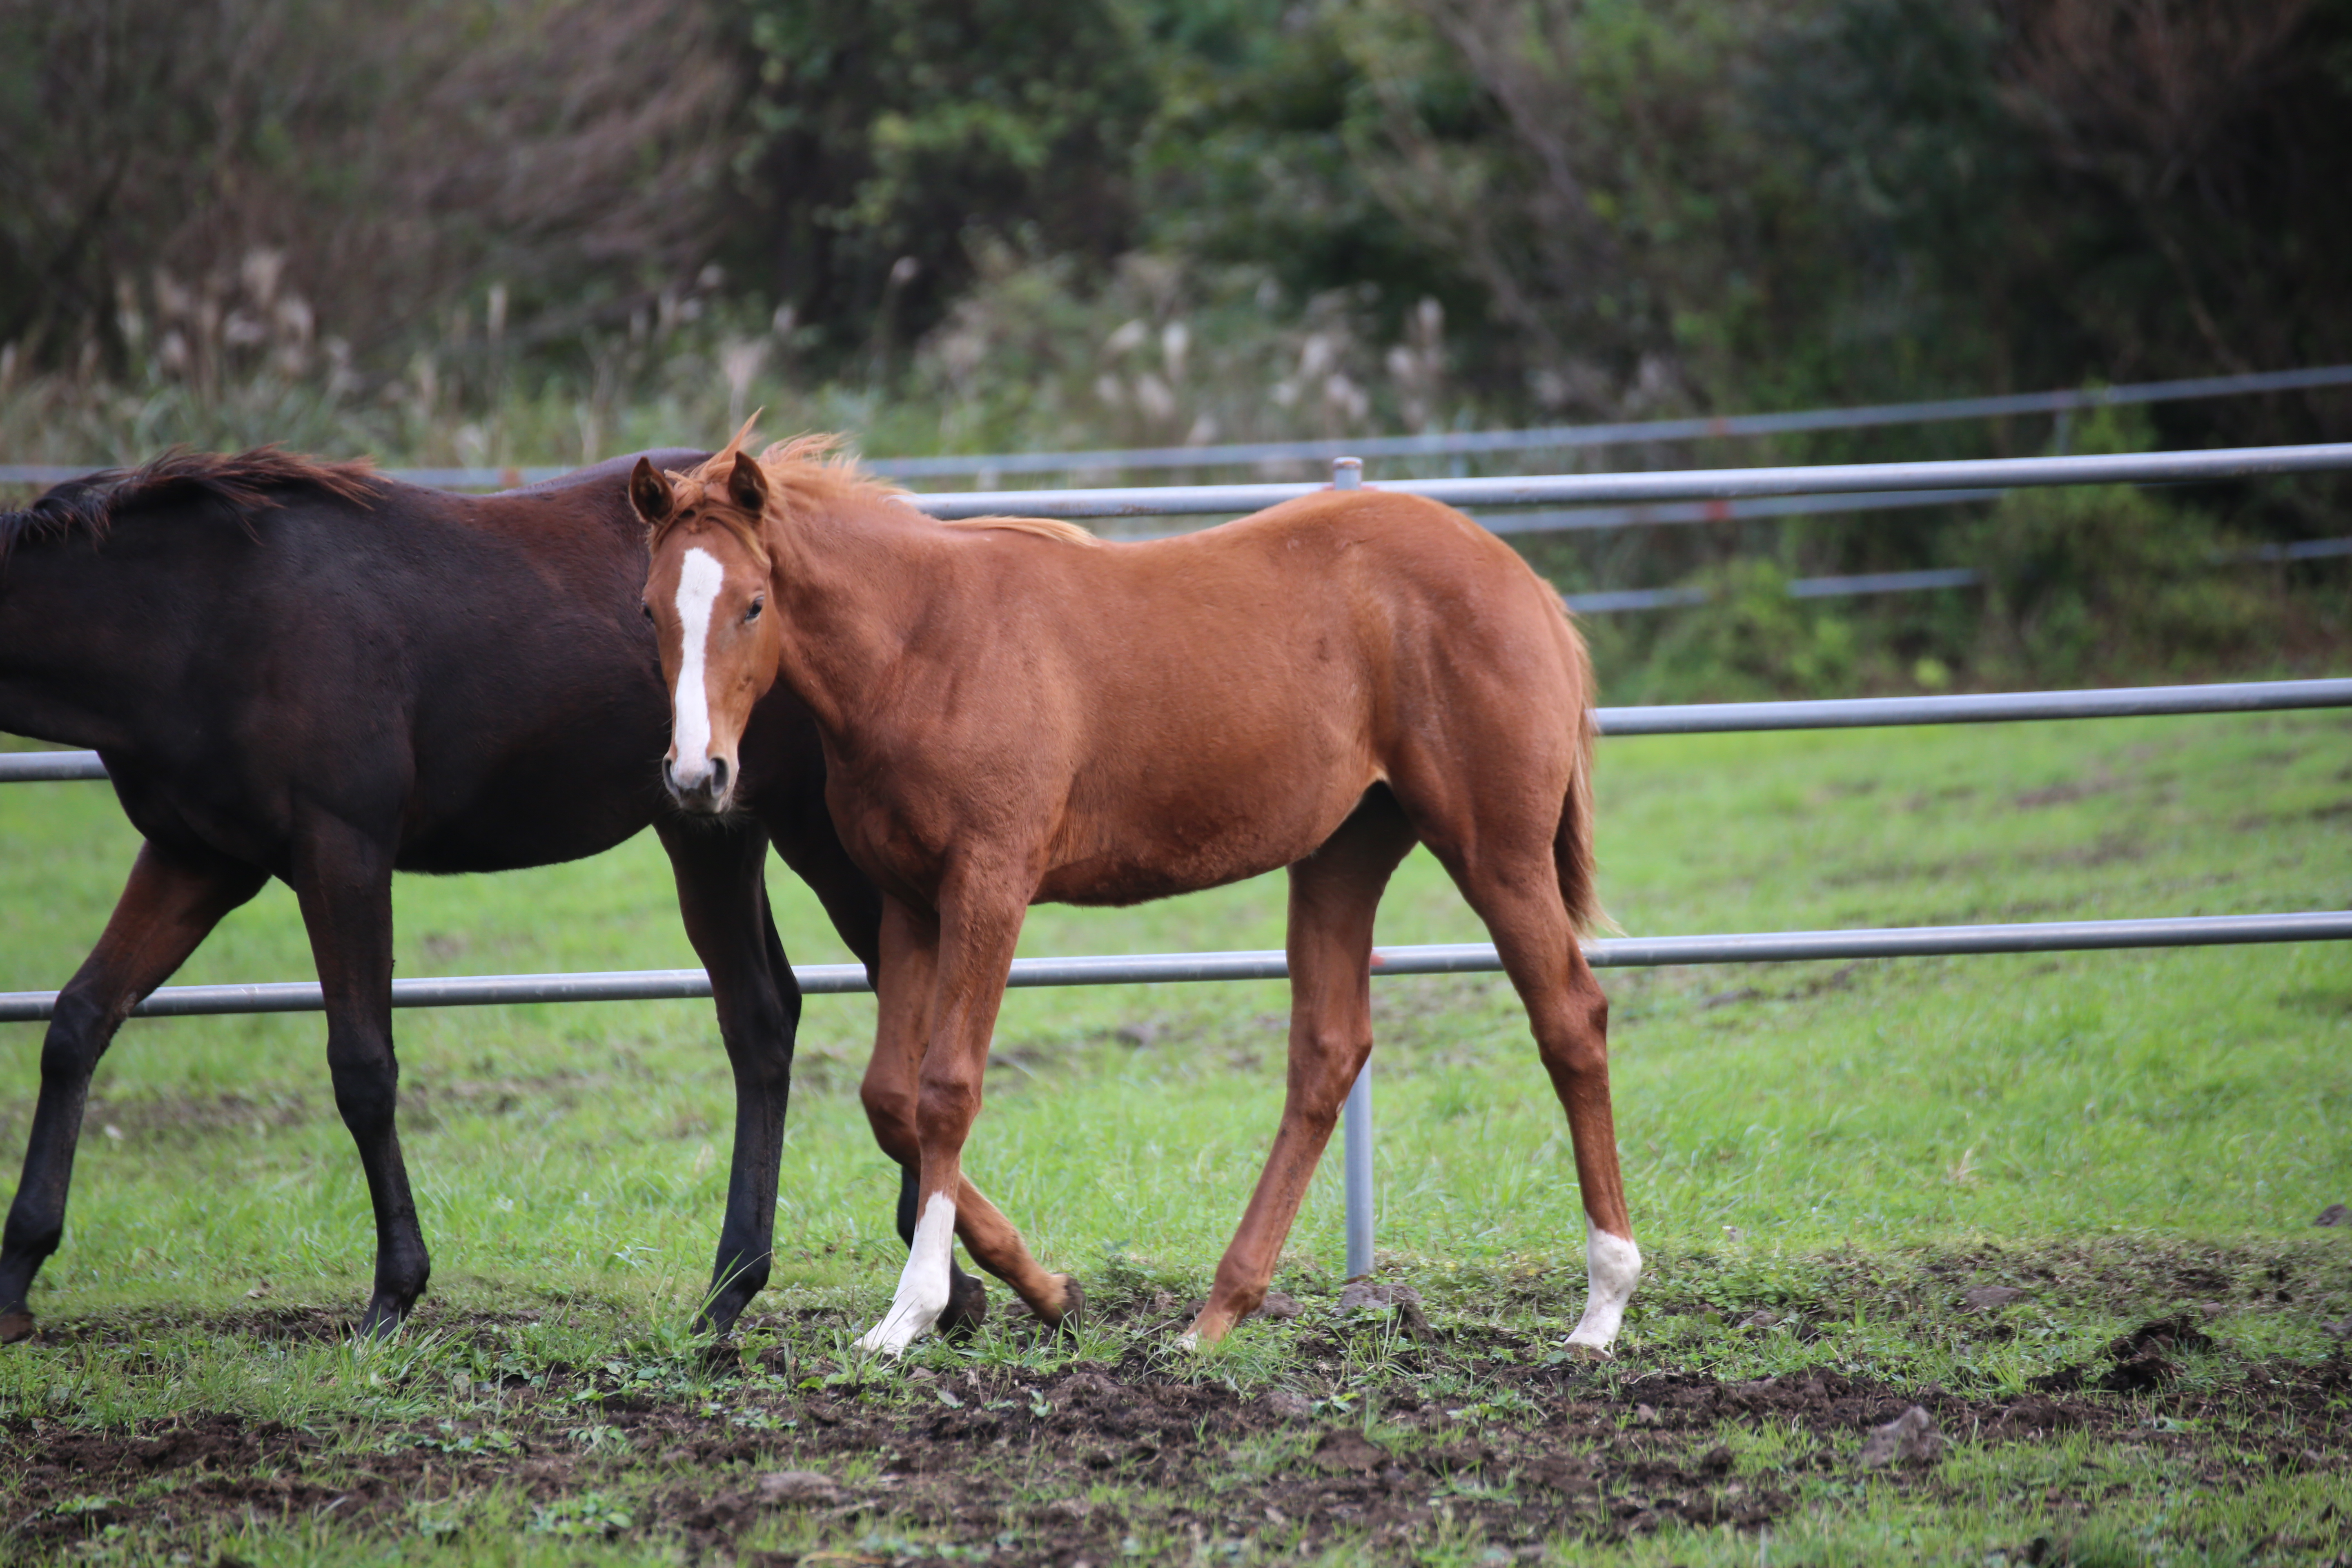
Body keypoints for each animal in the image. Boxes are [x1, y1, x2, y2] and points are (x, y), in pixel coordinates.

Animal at [0, 446, 983, 1345]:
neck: (201, 615)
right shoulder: (196, 858)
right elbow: (78, 1023)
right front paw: (18, 1274)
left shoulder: (341, 850)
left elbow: (363, 1068)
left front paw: (394, 1294)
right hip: (708, 823)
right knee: (765, 1019)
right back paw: (743, 1286)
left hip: (810, 834)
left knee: (881, 1001)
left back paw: (938, 1274)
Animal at [635, 430, 1646, 1363]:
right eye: (649, 609)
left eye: (753, 603)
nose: (695, 776)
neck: (923, 646)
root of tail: (1522, 580)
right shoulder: (908, 903)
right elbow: (890, 1098)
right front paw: (1046, 1291)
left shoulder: (988, 887)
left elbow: (946, 1090)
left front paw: (911, 1313)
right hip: (1343, 853)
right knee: (1328, 1053)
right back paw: (1216, 1316)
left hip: (1496, 851)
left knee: (1569, 1019)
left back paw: (1601, 1308)